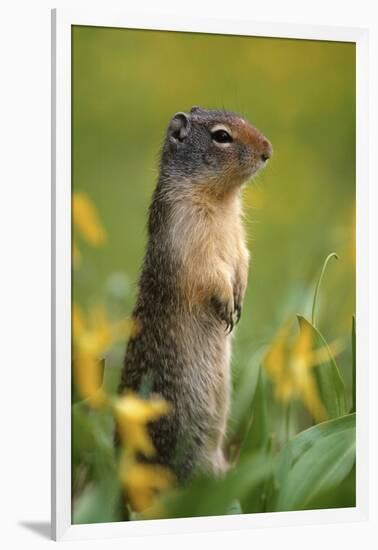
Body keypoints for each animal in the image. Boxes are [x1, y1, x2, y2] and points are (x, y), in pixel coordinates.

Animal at [118, 106, 272, 484]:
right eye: (221, 136)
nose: (268, 150)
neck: (221, 200)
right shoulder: (187, 236)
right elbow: (209, 273)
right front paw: (228, 304)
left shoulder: (238, 237)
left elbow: (243, 258)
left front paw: (240, 297)